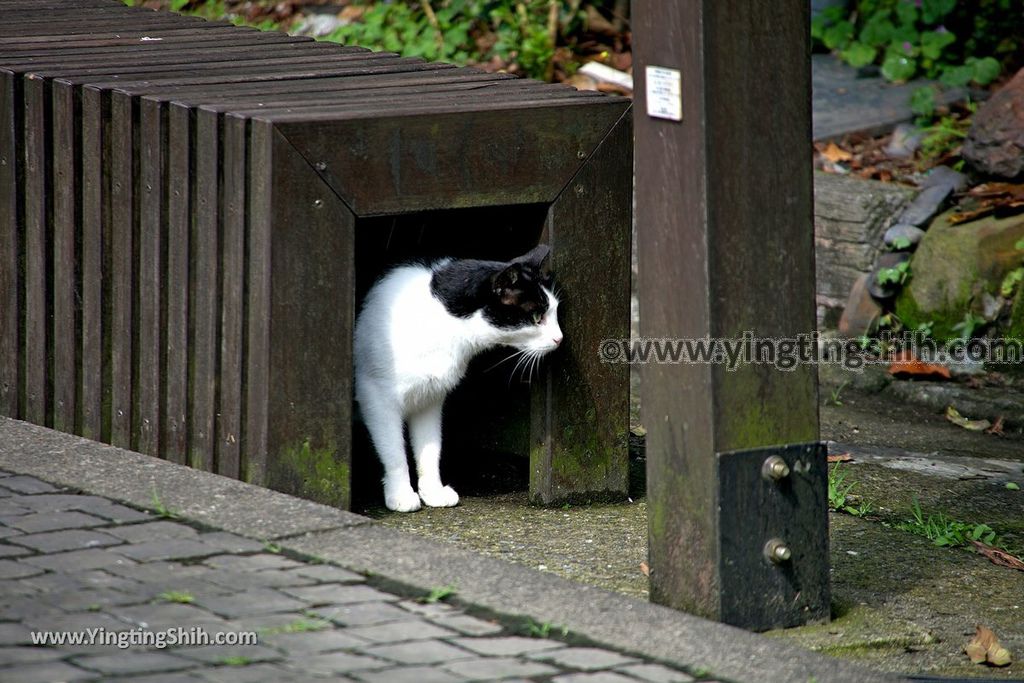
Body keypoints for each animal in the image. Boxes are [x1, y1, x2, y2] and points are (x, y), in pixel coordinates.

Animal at [352, 246, 561, 511]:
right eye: (536, 316)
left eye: (554, 311)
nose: (560, 338)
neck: (437, 322)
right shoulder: (377, 397)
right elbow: (393, 450)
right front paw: (400, 494)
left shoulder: (429, 398)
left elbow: (430, 448)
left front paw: (432, 491)